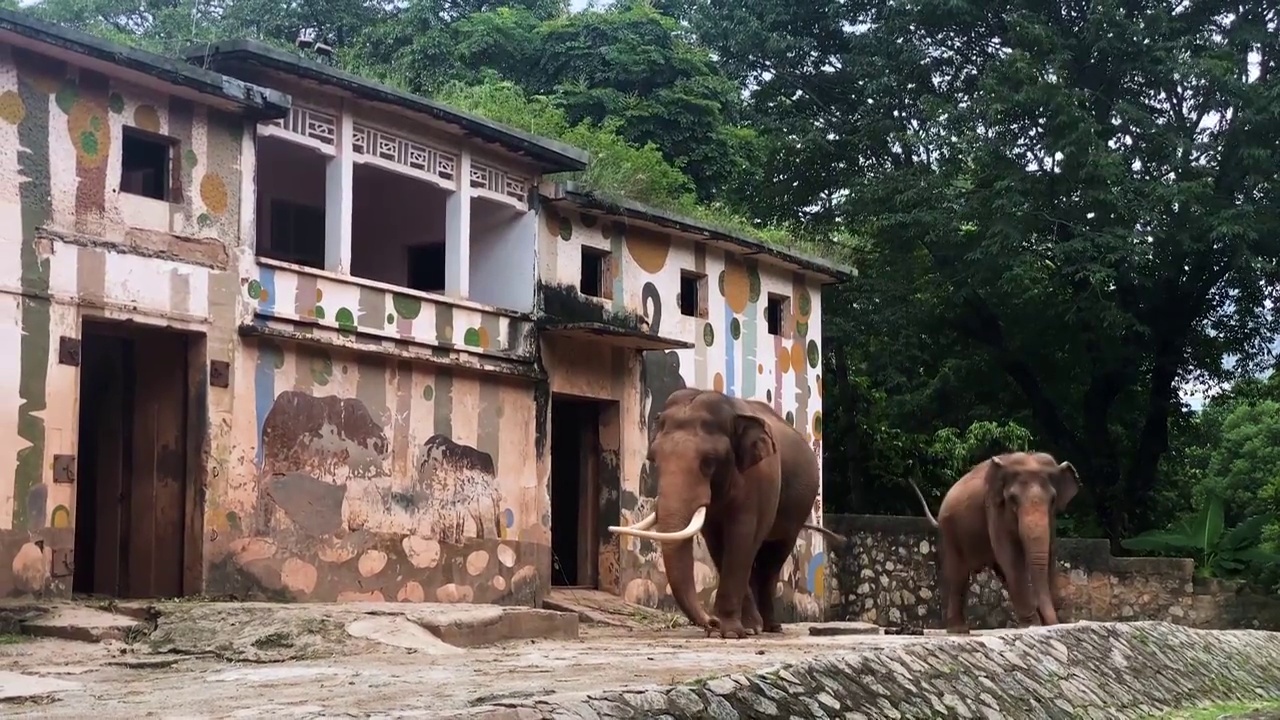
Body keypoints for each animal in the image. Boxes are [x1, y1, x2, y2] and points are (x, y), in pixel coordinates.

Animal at [609, 386, 839, 632]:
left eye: (709, 461)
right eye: (653, 458)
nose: (710, 622)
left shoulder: (759, 479)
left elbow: (741, 536)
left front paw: (732, 631)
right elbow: (718, 543)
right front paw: (741, 628)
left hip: (796, 511)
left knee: (772, 559)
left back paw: (771, 626)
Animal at [911, 450, 1080, 630]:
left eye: (1053, 500)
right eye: (1013, 499)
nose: (1053, 622)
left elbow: (1049, 552)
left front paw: (1040, 624)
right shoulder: (993, 507)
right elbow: (1010, 555)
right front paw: (1032, 625)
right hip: (950, 530)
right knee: (958, 574)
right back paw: (959, 629)